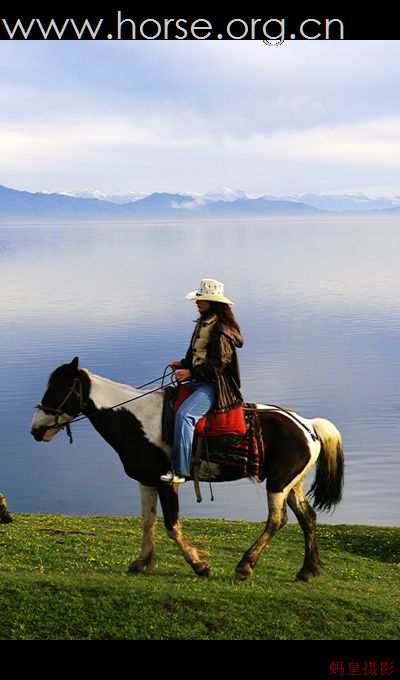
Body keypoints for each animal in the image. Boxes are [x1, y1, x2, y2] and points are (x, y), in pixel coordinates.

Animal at [30, 358, 344, 580]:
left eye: (58, 389)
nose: (35, 429)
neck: (137, 418)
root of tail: (308, 425)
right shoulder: (146, 480)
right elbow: (148, 521)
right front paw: (143, 562)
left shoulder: (167, 482)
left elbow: (172, 525)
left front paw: (199, 564)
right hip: (292, 484)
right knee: (308, 518)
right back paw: (307, 571)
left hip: (278, 483)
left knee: (277, 521)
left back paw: (245, 566)